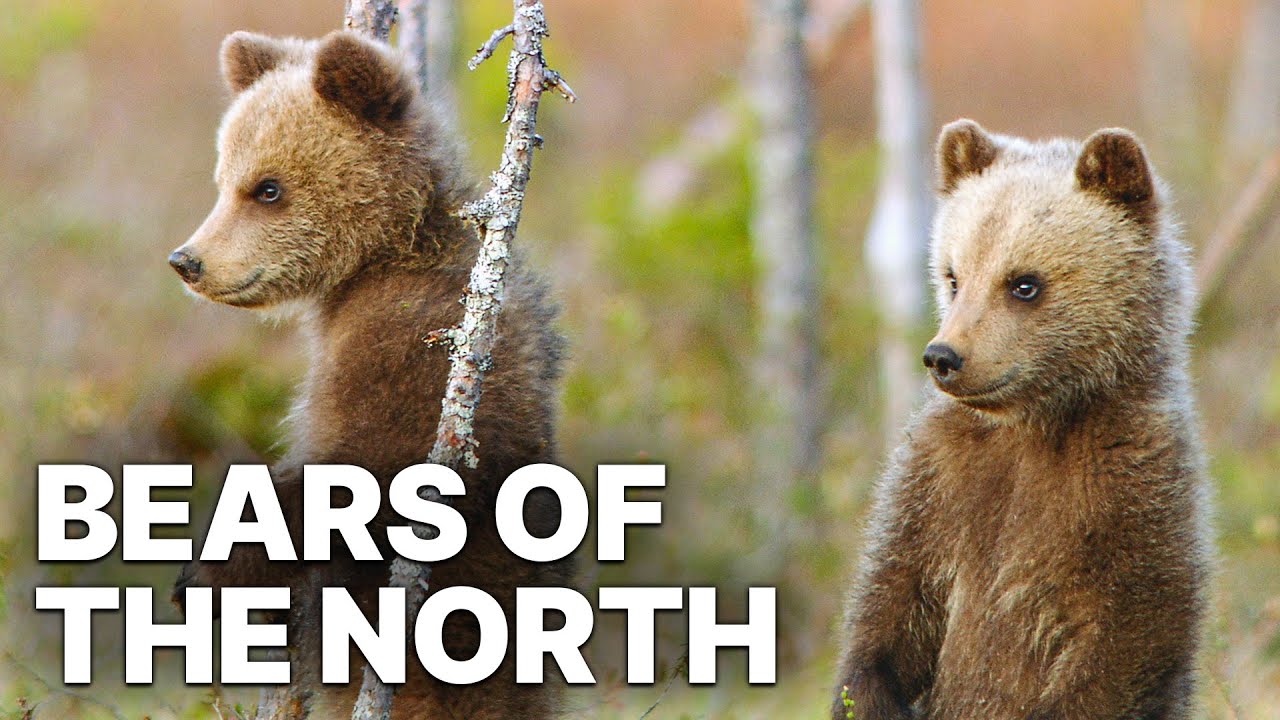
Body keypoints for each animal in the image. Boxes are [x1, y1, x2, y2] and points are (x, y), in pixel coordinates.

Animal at [167, 30, 571, 719]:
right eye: (223, 179)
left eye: (267, 188)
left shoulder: (410, 344)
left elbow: (369, 467)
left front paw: (209, 570)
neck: (385, 256)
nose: (188, 260)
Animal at [831, 120, 1213, 719]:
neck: (1035, 421)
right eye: (954, 275)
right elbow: (889, 606)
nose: (944, 356)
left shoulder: (1130, 485)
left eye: (1024, 282)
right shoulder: (938, 481)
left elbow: (1126, 636)